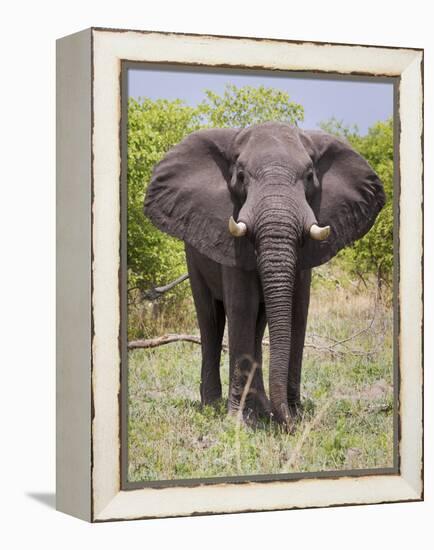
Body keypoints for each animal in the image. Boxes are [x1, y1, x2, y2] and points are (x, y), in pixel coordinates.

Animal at [144, 123, 384, 434]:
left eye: (309, 176)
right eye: (241, 176)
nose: (290, 425)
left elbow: (296, 311)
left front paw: (289, 414)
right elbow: (241, 308)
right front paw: (239, 422)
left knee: (258, 325)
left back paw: (261, 407)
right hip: (193, 255)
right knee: (210, 318)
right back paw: (213, 406)